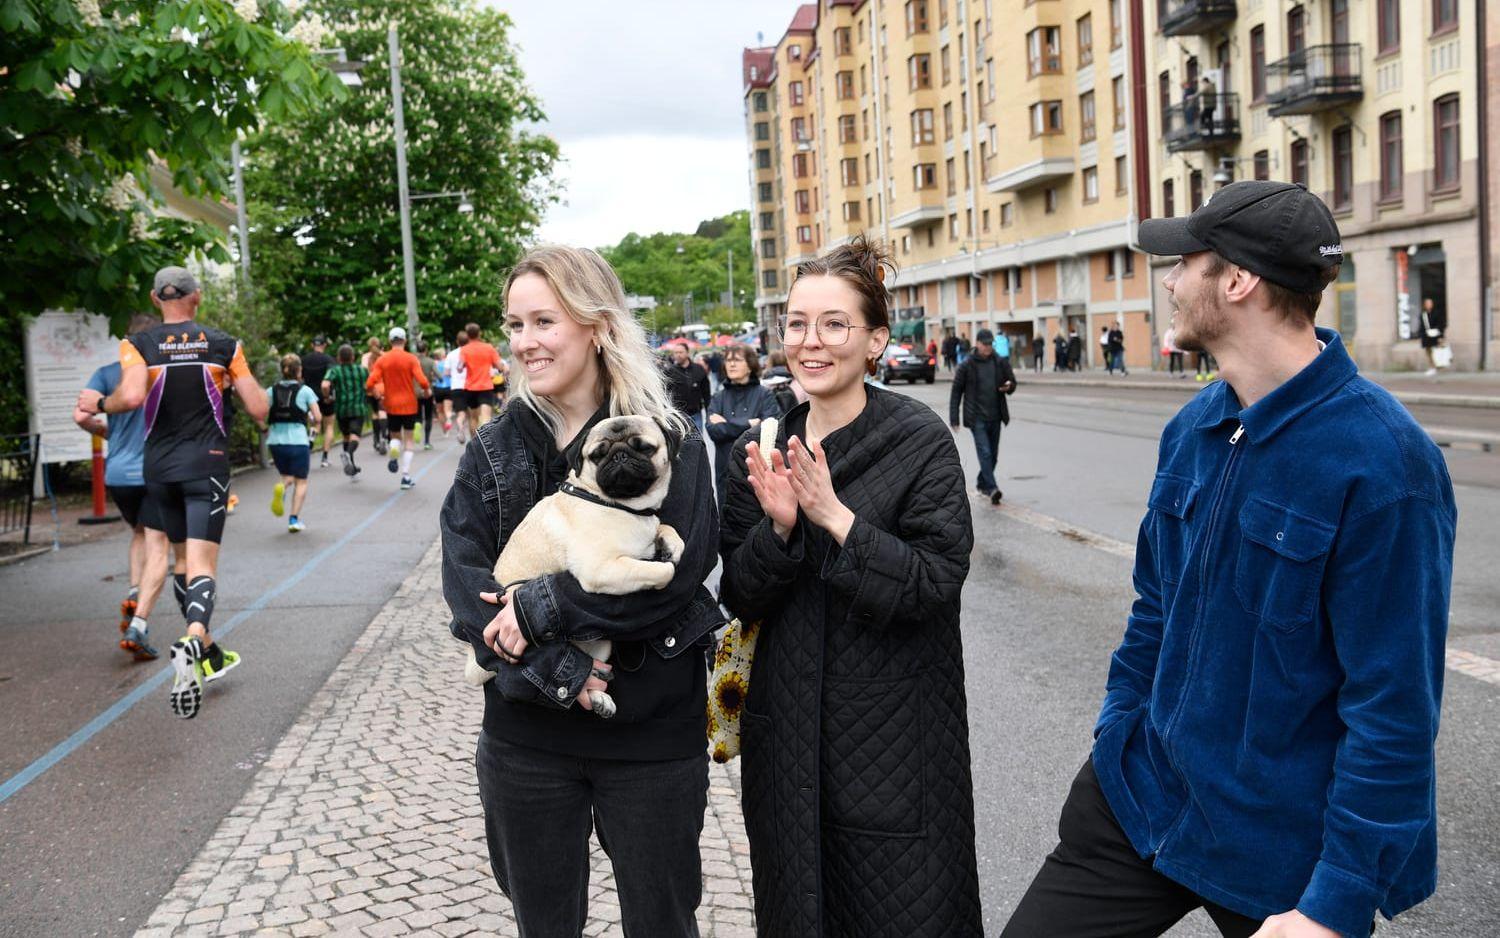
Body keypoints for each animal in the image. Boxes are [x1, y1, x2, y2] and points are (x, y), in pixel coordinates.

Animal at [462, 414, 687, 717]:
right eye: (598, 455)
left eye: (644, 448)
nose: (620, 456)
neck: (621, 506)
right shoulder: (600, 569)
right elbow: (663, 570)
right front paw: (661, 564)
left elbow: (666, 528)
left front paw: (670, 544)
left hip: (602, 644)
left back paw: (599, 699)